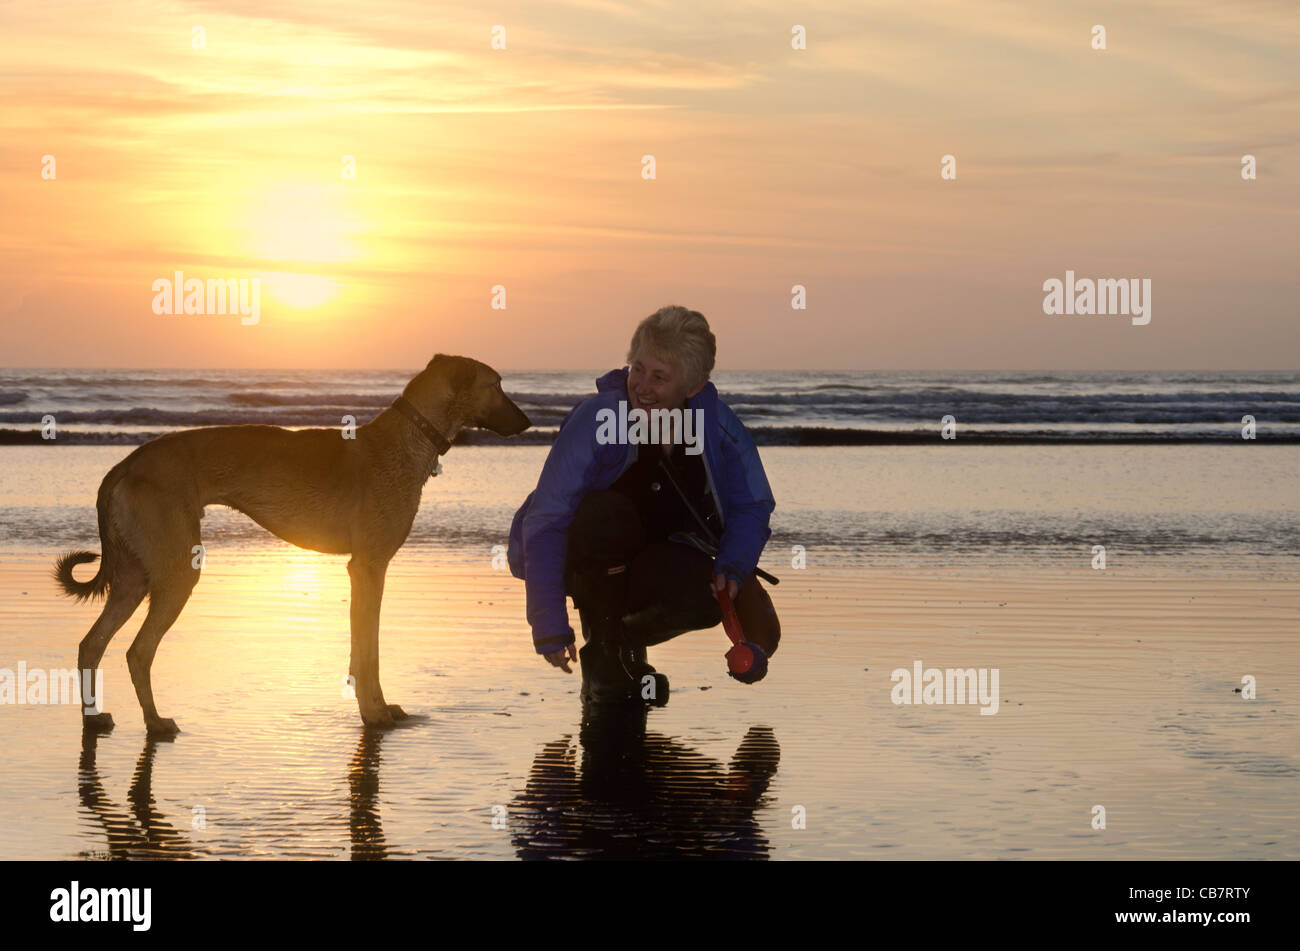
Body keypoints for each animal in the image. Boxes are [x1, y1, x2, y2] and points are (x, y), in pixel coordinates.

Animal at [50, 355, 527, 737]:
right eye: (497, 383)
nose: (526, 424)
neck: (406, 439)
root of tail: (126, 464)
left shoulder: (366, 570)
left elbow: (364, 650)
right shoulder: (369, 567)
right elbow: (367, 652)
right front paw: (374, 713)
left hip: (134, 575)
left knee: (92, 643)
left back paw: (94, 717)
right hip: (177, 570)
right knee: (138, 651)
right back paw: (155, 721)